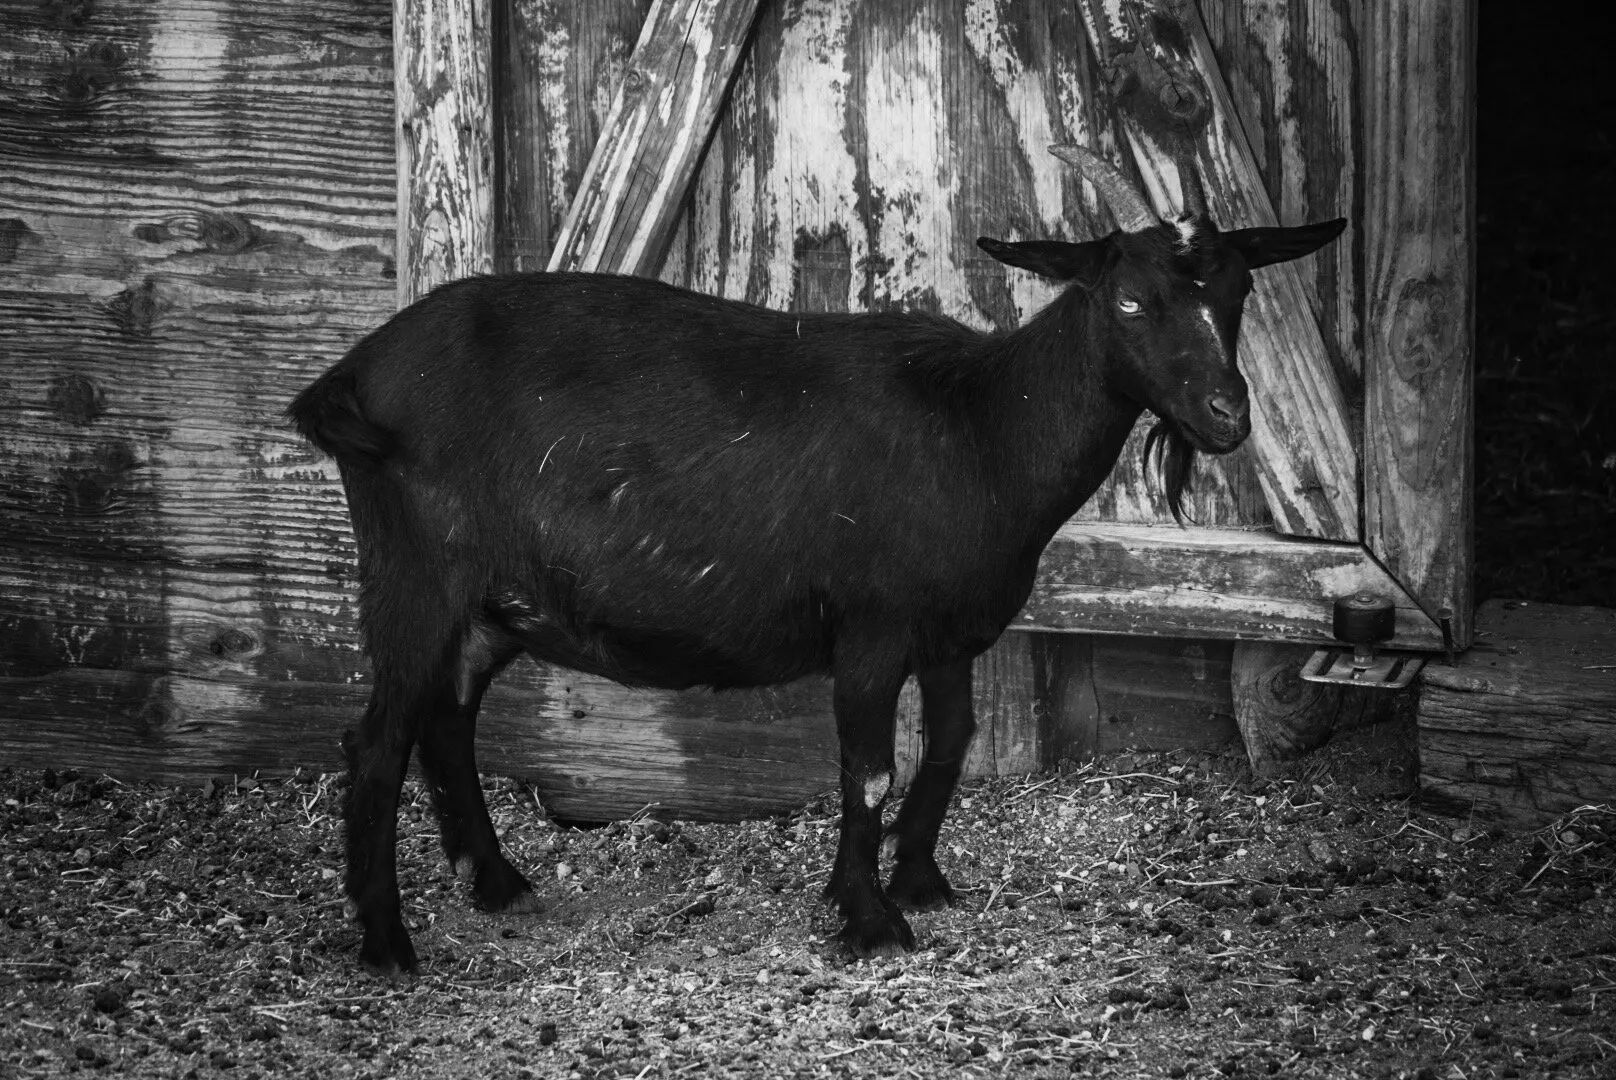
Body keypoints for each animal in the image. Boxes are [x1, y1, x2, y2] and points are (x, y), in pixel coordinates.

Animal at [289, 144, 1345, 974]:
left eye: (1238, 291)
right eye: (1127, 299)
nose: (1228, 416)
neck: (981, 426)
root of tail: (350, 377)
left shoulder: (952, 631)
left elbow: (951, 742)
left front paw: (920, 879)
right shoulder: (871, 626)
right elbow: (869, 768)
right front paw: (868, 919)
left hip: (490, 597)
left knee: (448, 716)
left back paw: (499, 883)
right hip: (415, 572)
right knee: (375, 742)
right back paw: (387, 944)